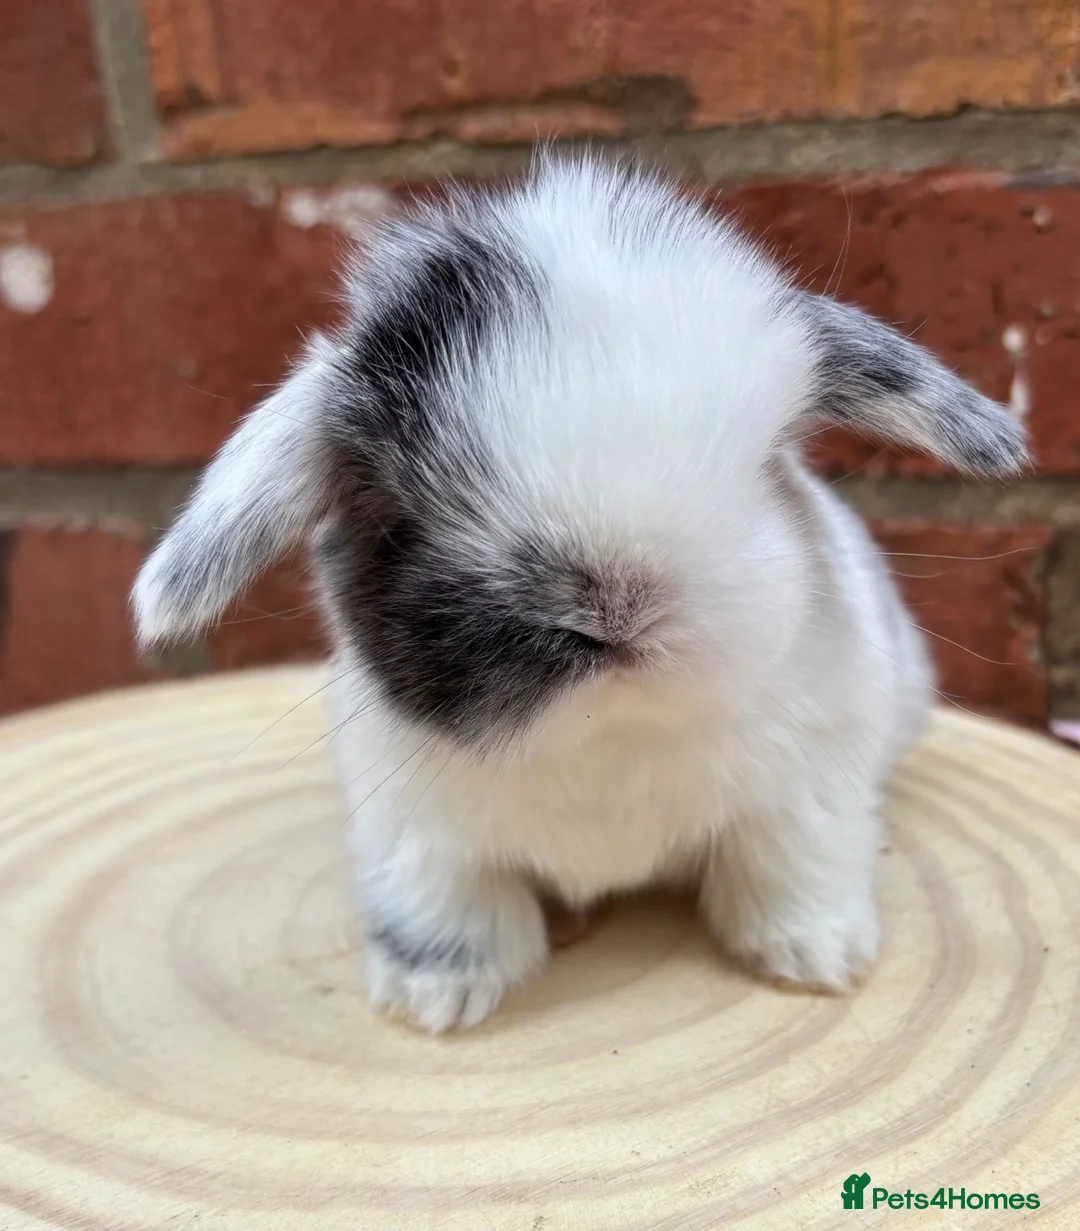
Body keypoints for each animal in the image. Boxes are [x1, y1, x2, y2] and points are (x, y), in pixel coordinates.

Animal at [132, 153, 1028, 1033]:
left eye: (770, 463)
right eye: (395, 512)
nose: (617, 613)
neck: (611, 734)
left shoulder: (807, 793)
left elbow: (789, 869)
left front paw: (819, 960)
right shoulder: (414, 832)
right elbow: (449, 906)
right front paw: (434, 999)